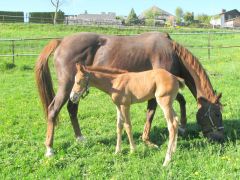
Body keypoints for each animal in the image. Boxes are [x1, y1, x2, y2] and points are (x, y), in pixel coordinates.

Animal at [34, 32, 224, 156]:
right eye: (216, 114)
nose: (221, 137)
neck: (171, 52)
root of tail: (61, 41)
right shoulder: (157, 90)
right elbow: (151, 112)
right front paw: (147, 140)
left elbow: (181, 101)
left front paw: (182, 127)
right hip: (67, 87)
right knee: (53, 110)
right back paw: (49, 149)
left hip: (75, 91)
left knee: (72, 109)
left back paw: (80, 138)